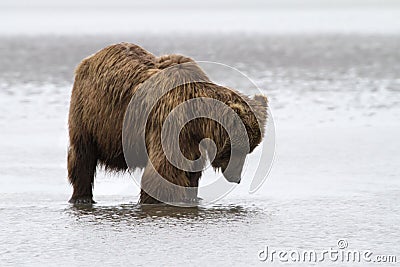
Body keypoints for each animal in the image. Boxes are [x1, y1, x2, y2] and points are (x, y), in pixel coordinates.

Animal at [69, 42, 268, 205]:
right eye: (238, 149)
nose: (237, 178)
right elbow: (163, 172)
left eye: (249, 150)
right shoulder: (169, 123)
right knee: (82, 156)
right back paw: (81, 197)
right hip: (90, 115)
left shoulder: (191, 139)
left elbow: (191, 171)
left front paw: (192, 197)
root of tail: (90, 58)